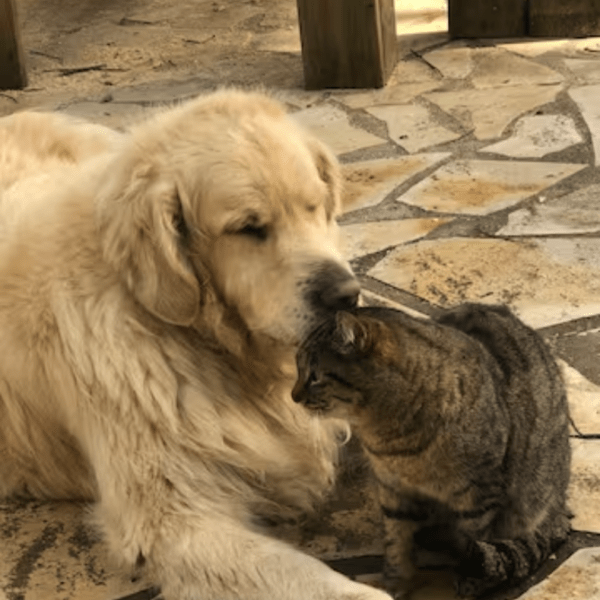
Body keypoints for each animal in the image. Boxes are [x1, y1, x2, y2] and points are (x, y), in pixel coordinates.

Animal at [292, 308, 568, 596]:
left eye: (314, 376)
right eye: (298, 369)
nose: (293, 396)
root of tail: (560, 507)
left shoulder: (479, 497)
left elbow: (474, 541)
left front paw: (470, 582)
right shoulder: (392, 490)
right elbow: (396, 542)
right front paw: (395, 582)